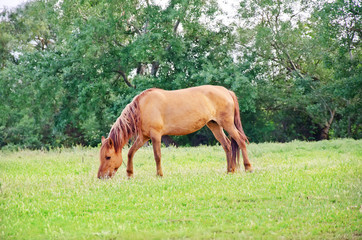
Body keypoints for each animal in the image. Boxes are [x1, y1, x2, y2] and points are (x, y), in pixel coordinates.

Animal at [97, 85, 253, 178]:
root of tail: (226, 91)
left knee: (240, 141)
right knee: (227, 146)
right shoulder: (143, 137)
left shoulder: (155, 136)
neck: (142, 107)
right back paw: (230, 170)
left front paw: (159, 175)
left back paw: (248, 168)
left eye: (108, 157)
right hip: (214, 125)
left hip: (227, 124)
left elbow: (157, 156)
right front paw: (129, 174)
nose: (100, 176)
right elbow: (130, 153)